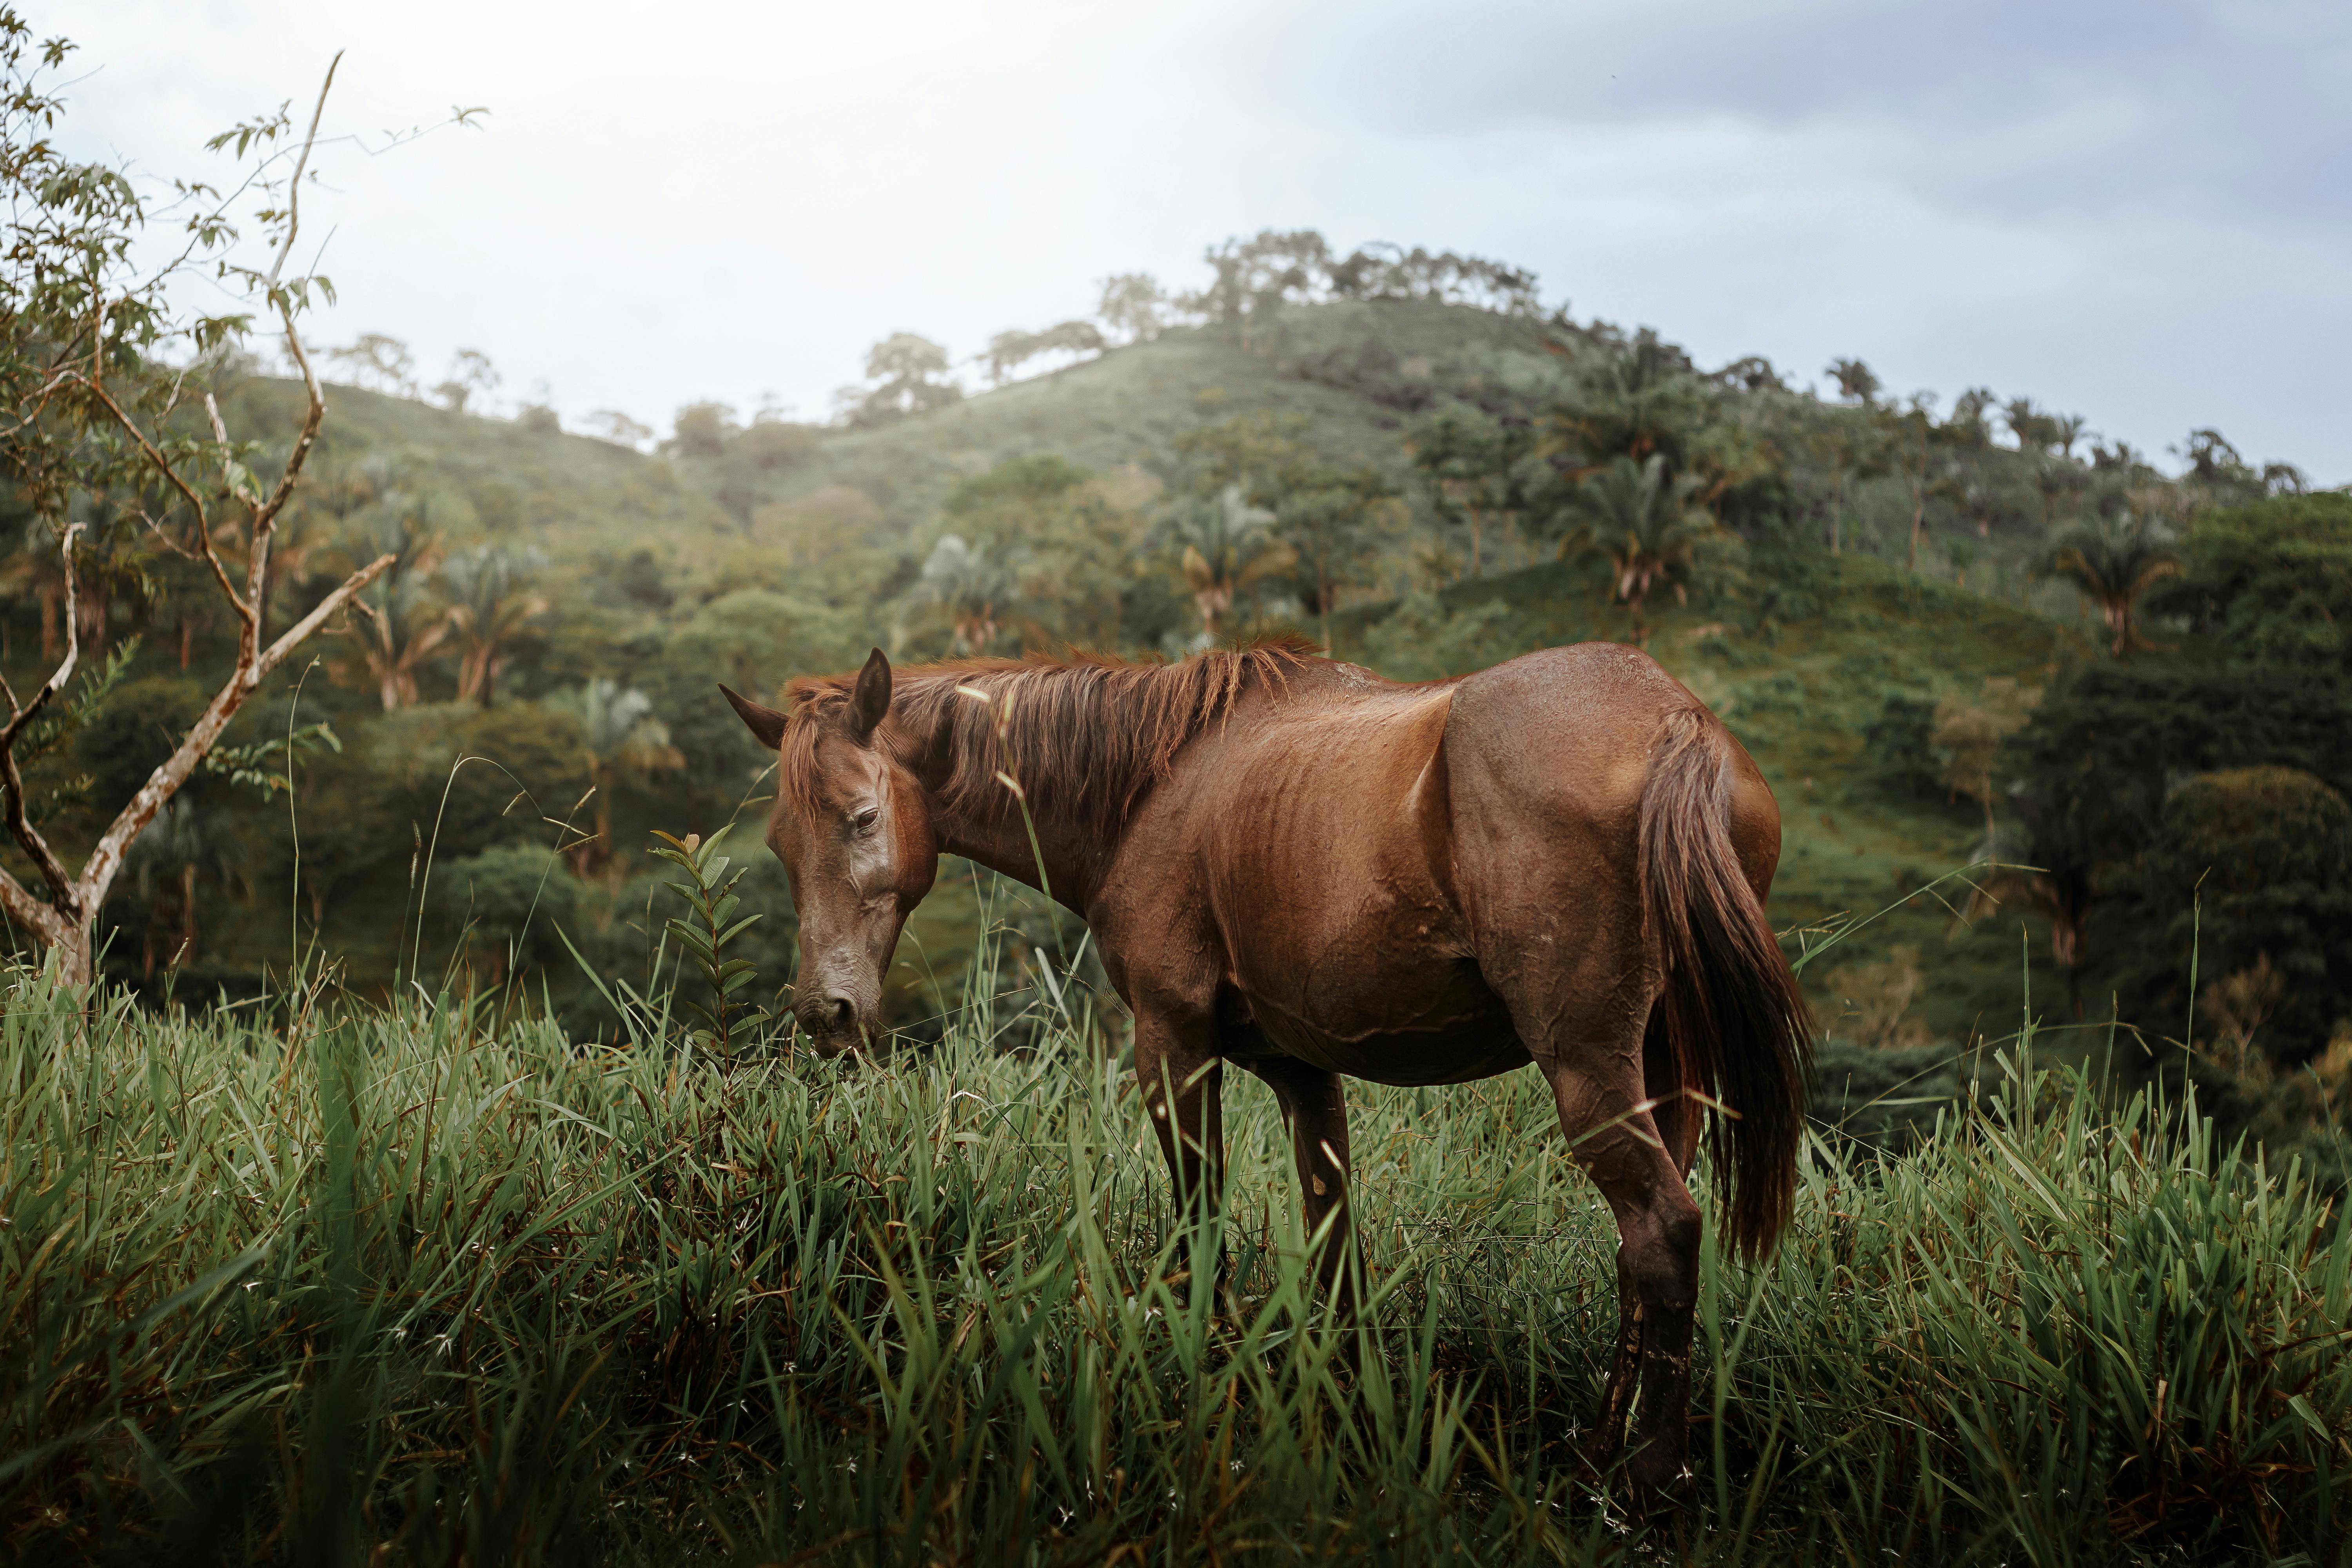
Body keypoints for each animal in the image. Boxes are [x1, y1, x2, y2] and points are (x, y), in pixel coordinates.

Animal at [720, 637, 1809, 1496]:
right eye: (780, 839)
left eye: (861, 817)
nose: (825, 1010)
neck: (1153, 785)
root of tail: (1677, 721)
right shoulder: (1302, 1073)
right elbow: (1334, 1251)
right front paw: (1345, 1404)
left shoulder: (1172, 1048)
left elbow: (1198, 1224)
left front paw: (1197, 1377)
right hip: (1664, 1070)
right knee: (1641, 1252)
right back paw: (1607, 1443)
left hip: (1589, 1069)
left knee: (1662, 1231)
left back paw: (1643, 1472)